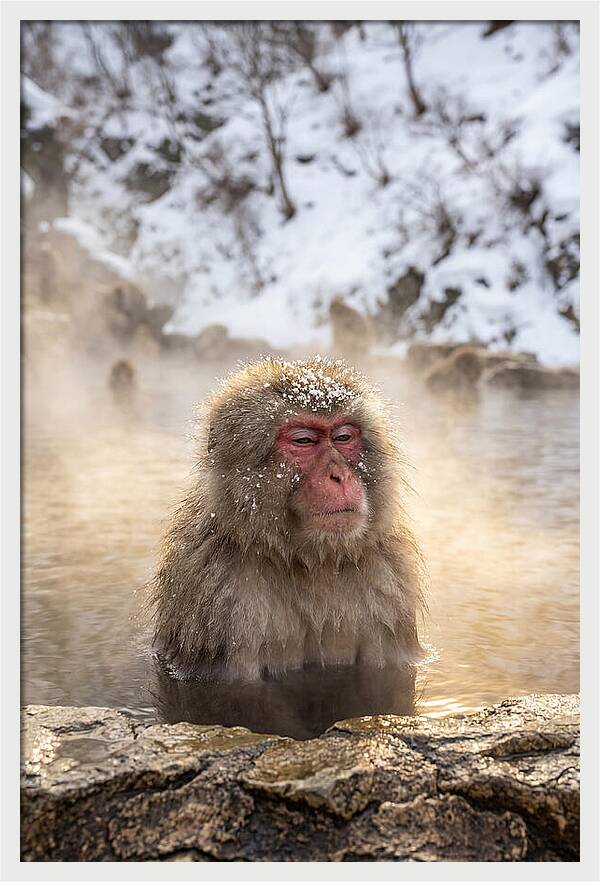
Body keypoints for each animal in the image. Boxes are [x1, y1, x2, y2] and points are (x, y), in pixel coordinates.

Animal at [149, 356, 426, 681]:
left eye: (343, 437)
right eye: (303, 440)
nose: (339, 476)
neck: (311, 562)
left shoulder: (389, 584)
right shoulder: (218, 597)